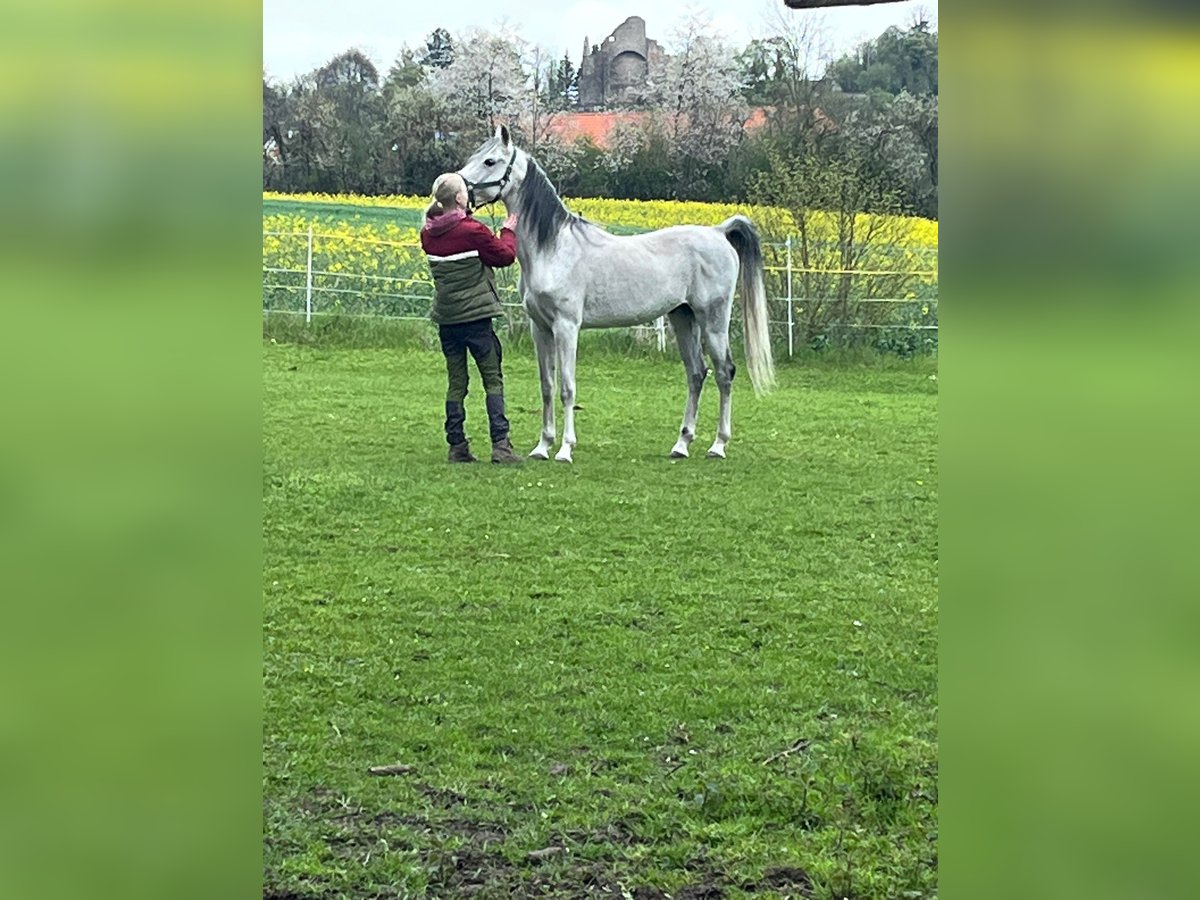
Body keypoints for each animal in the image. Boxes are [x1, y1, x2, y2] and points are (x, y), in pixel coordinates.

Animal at [458, 125, 775, 463]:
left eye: (490, 161)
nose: (457, 189)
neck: (554, 249)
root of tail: (718, 232)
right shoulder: (540, 328)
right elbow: (547, 386)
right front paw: (542, 447)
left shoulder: (566, 327)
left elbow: (567, 387)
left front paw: (565, 449)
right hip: (683, 317)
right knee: (696, 373)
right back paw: (681, 444)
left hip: (713, 320)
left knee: (724, 372)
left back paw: (718, 445)